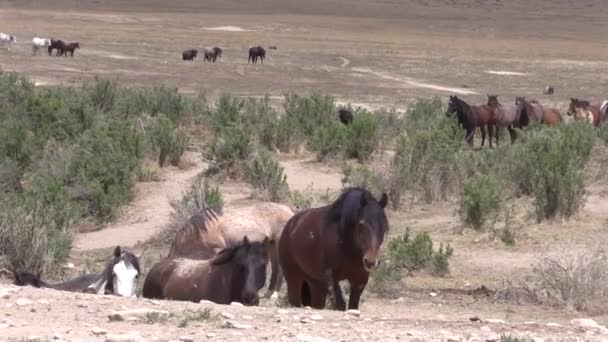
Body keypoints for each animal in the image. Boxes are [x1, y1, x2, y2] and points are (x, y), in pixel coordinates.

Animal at [167, 203, 296, 296]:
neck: (201, 231)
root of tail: (290, 210)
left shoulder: (217, 250)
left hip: (277, 243)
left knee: (280, 269)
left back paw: (274, 294)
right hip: (271, 245)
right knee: (275, 268)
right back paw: (269, 293)